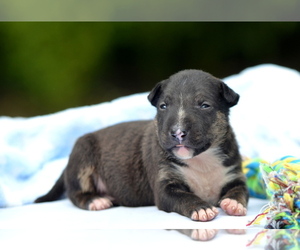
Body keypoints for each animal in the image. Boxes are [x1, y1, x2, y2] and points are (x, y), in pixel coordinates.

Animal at [36, 69, 250, 222]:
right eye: (163, 106)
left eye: (204, 105)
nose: (177, 133)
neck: (201, 159)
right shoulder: (165, 187)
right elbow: (184, 197)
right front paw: (202, 208)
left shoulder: (233, 174)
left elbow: (240, 191)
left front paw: (233, 204)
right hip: (83, 156)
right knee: (75, 193)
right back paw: (96, 200)